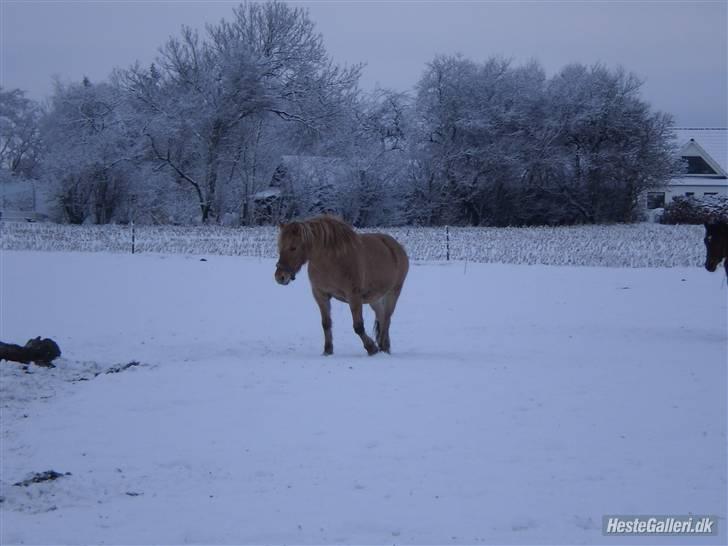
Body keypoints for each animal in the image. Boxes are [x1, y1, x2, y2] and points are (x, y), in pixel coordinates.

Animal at [274, 215, 410, 354]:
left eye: (293, 247)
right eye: (280, 247)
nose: (280, 277)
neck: (332, 261)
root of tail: (397, 247)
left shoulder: (354, 296)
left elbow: (358, 326)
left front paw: (371, 348)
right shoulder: (320, 295)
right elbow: (326, 323)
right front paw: (327, 350)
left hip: (393, 292)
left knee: (387, 319)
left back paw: (382, 347)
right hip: (374, 298)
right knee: (381, 317)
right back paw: (385, 346)